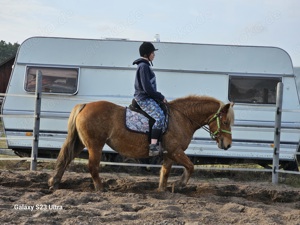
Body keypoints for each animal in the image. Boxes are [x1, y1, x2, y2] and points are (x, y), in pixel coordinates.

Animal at [48, 95, 234, 192]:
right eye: (225, 122)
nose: (228, 145)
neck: (181, 118)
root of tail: (85, 105)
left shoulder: (170, 153)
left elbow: (165, 172)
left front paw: (162, 190)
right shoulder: (176, 151)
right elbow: (190, 166)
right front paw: (179, 184)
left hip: (80, 143)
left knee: (66, 159)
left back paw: (54, 182)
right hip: (95, 145)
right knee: (92, 166)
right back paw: (100, 188)